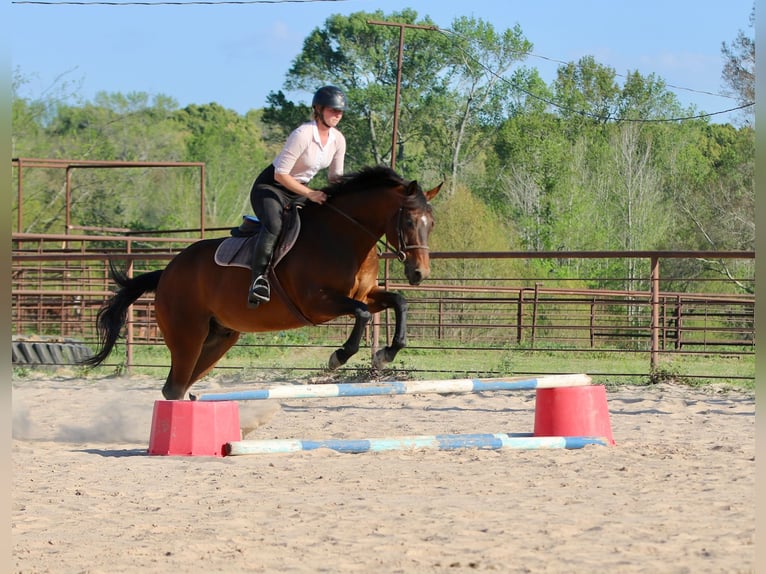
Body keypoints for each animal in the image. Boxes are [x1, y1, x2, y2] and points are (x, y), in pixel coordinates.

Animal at [84, 165, 442, 400]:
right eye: (409, 221)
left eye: (432, 223)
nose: (419, 273)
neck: (346, 236)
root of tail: (167, 272)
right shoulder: (318, 303)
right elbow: (362, 315)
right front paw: (338, 357)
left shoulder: (365, 294)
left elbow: (398, 302)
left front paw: (385, 354)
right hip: (188, 336)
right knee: (175, 386)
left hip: (218, 340)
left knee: (179, 386)